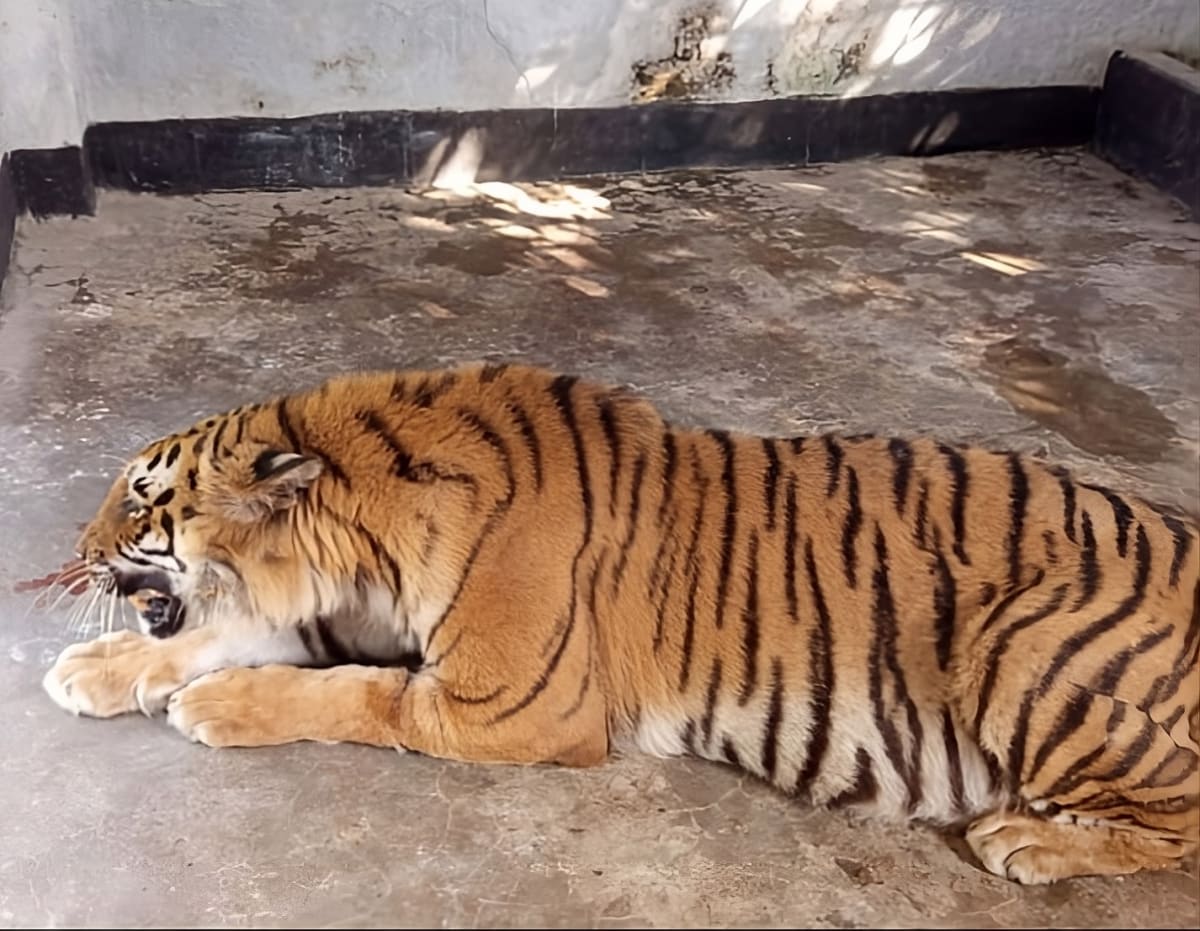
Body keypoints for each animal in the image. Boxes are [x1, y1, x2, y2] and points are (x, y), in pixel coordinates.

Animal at [40, 361, 1198, 885]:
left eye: (141, 499)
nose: (73, 547)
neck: (362, 537)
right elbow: (230, 631)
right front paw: (96, 667)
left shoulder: (507, 705)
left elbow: (347, 692)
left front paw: (212, 704)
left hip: (1017, 642)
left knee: (1178, 820)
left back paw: (1026, 839)